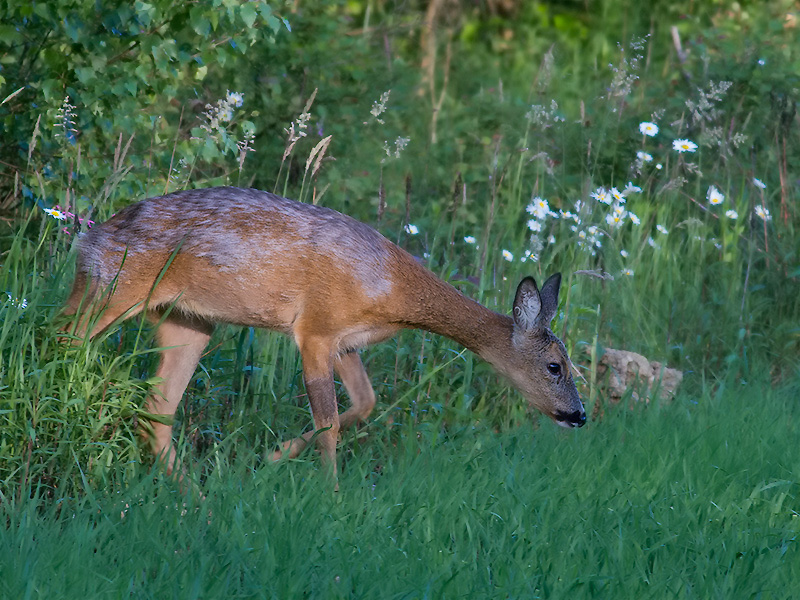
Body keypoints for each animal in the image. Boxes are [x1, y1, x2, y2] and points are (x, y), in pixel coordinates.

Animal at [62, 188, 584, 478]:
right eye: (554, 366)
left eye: (573, 367)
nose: (579, 415)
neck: (392, 290)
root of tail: (88, 236)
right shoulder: (315, 327)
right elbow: (328, 422)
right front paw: (329, 496)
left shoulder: (346, 341)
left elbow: (365, 403)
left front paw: (271, 459)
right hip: (110, 286)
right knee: (64, 339)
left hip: (188, 320)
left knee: (157, 408)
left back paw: (197, 500)